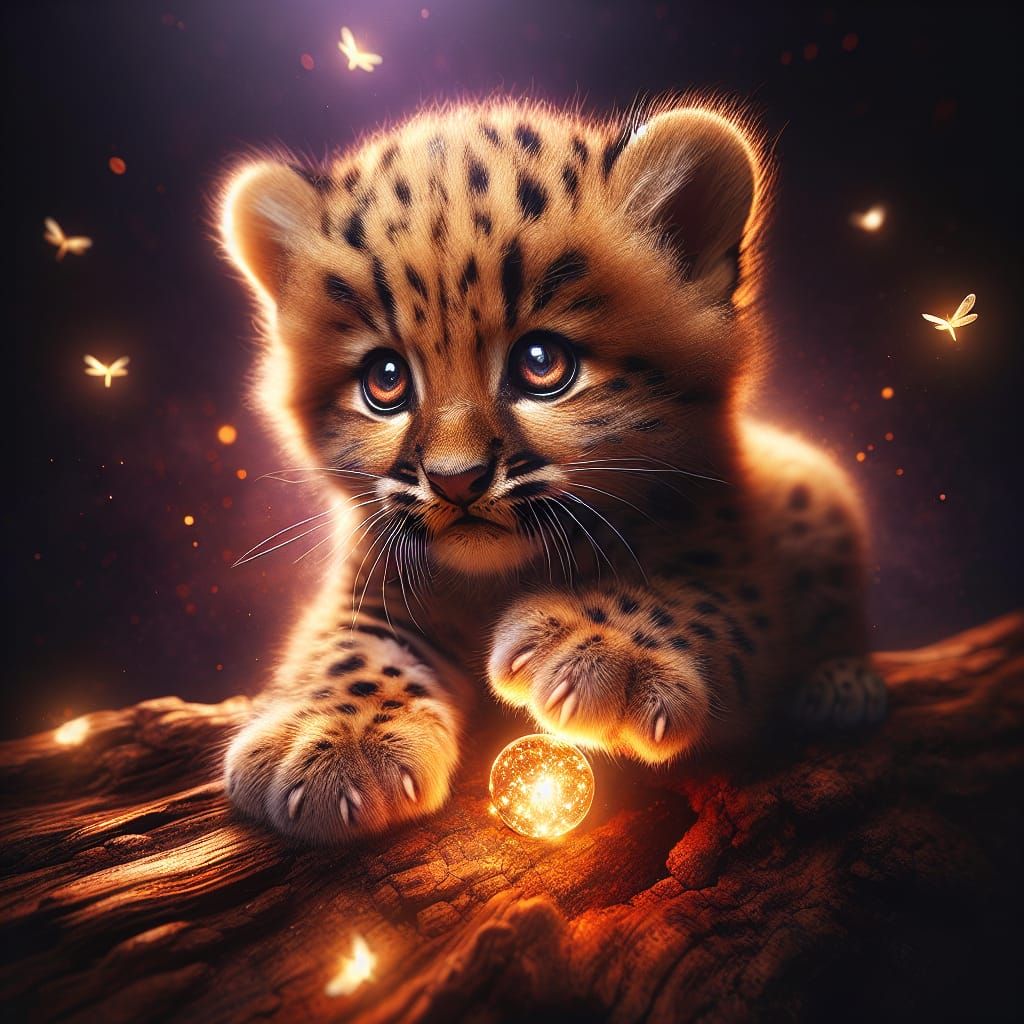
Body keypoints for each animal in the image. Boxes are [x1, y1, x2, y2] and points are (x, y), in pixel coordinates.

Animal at [218, 97, 886, 845]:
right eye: (384, 380)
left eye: (542, 363)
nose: (455, 479)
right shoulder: (370, 582)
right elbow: (345, 645)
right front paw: (327, 741)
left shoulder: (735, 562)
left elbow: (688, 588)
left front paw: (604, 655)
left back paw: (843, 687)